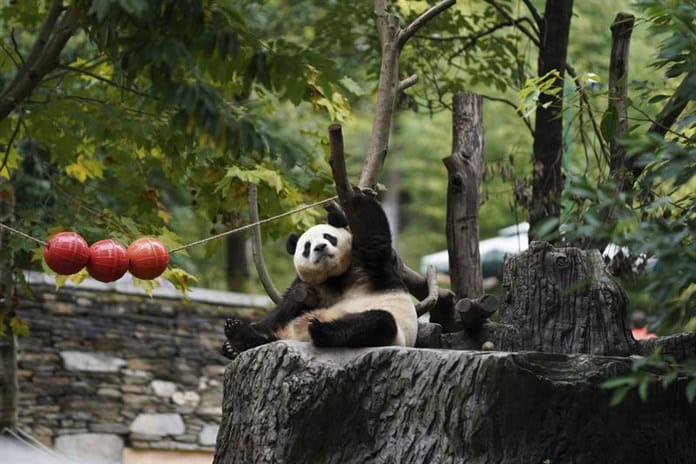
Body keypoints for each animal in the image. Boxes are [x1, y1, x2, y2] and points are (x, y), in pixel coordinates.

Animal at [223, 190, 416, 358]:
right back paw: (238, 337)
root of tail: (294, 337)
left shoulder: (369, 267)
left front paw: (359, 199)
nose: (320, 247)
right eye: (307, 246)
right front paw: (238, 336)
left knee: (377, 322)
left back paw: (319, 330)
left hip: (395, 333)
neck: (335, 275)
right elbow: (286, 305)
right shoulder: (314, 285)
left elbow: (374, 239)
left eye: (329, 237)